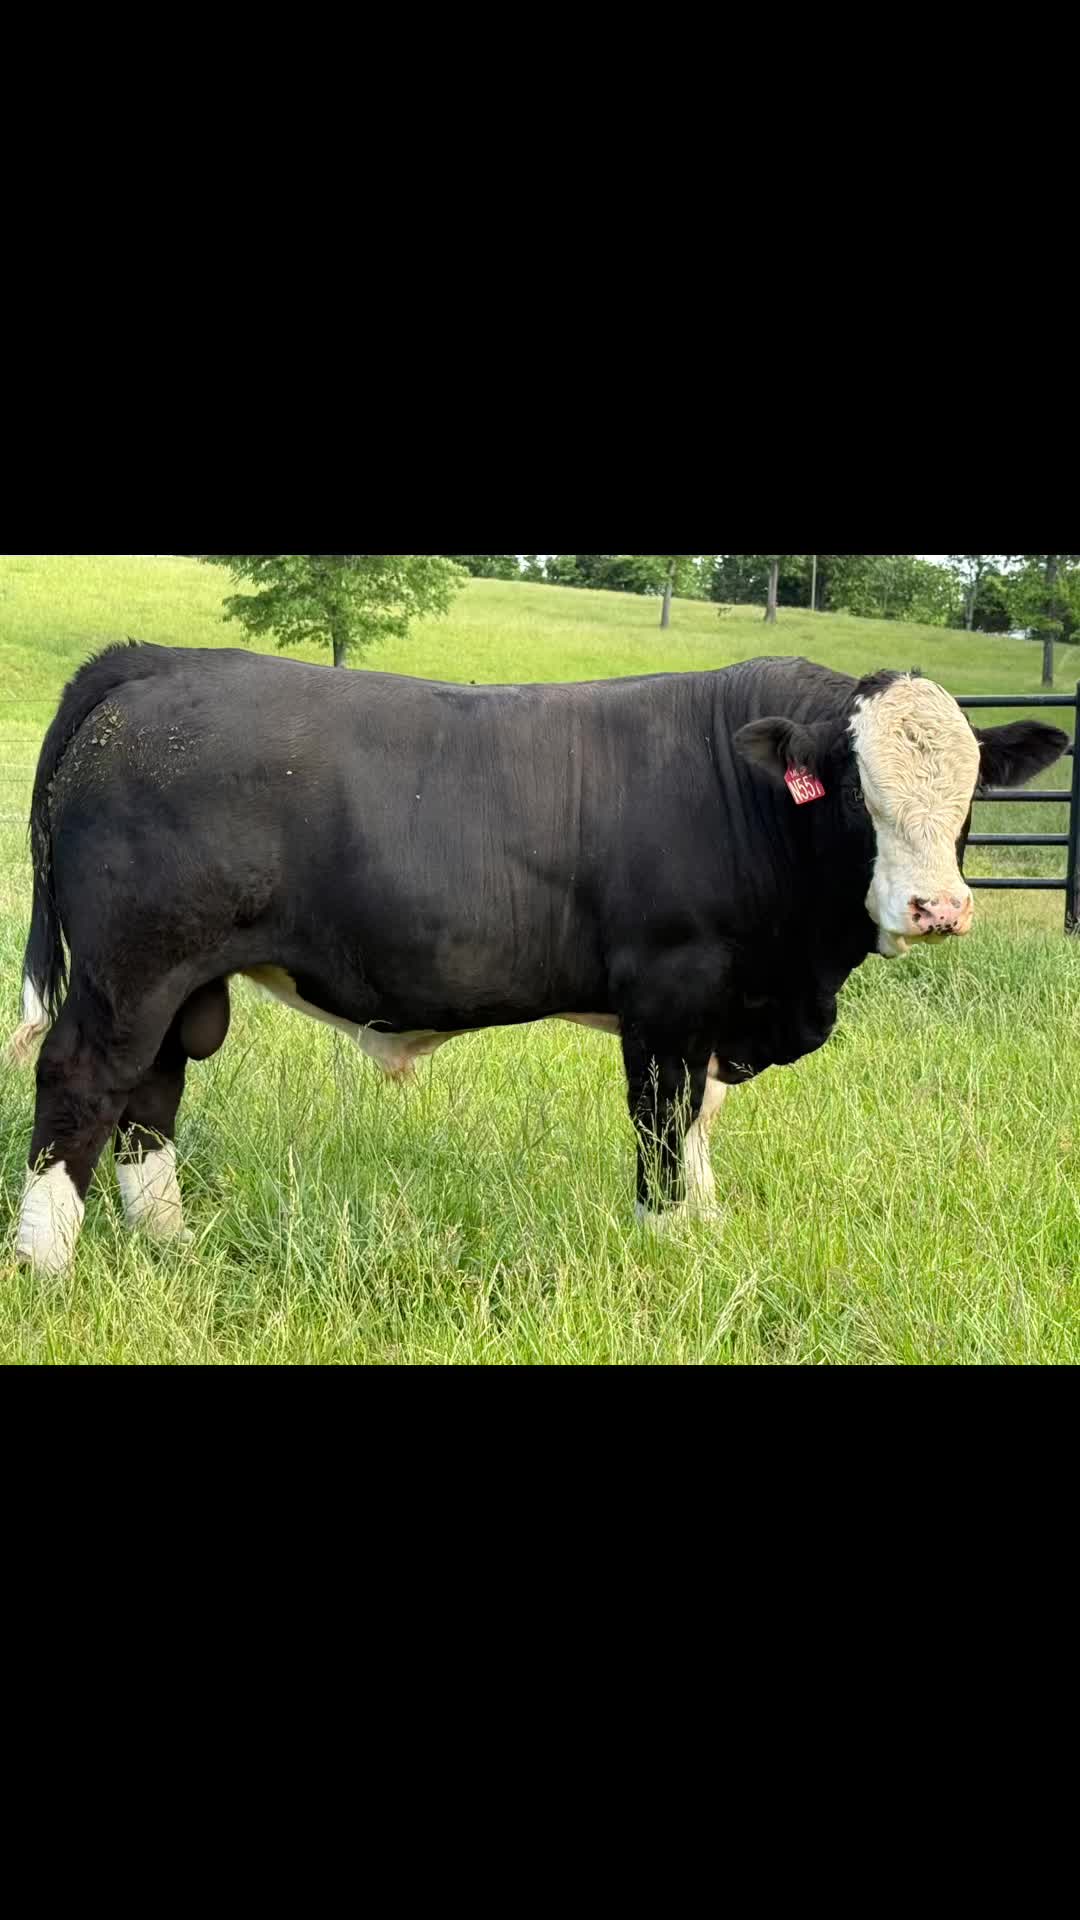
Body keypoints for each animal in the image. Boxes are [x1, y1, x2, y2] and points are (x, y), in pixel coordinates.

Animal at [7, 643, 1068, 1272]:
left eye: (973, 789)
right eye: (853, 788)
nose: (936, 909)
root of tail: (154, 663)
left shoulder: (717, 1010)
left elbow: (698, 1122)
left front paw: (707, 1229)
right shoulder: (670, 994)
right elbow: (663, 1121)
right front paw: (669, 1242)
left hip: (181, 982)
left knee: (151, 1094)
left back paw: (171, 1240)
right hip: (127, 969)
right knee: (82, 1082)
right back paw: (47, 1263)